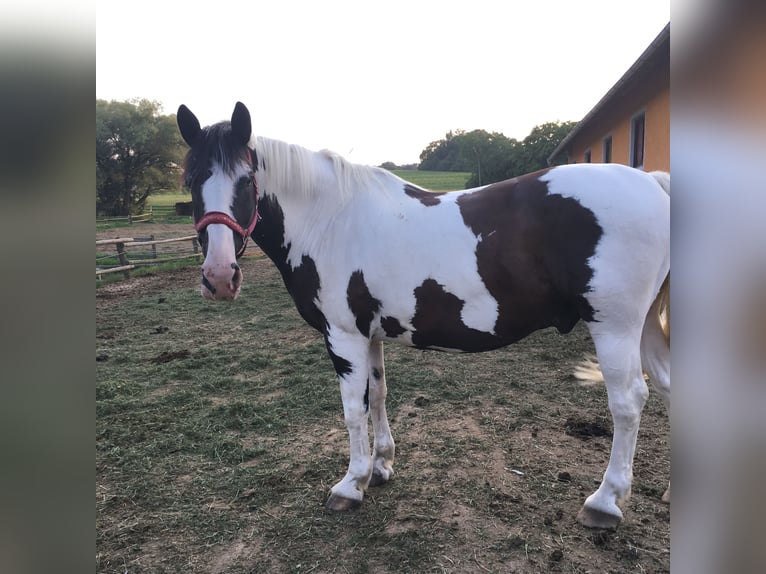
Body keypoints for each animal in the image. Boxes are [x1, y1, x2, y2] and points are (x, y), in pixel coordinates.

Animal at [176, 102, 670, 529]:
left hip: (615, 327)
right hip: (645, 327)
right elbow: (377, 396)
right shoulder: (370, 335)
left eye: (247, 179)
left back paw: (604, 502)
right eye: (191, 178)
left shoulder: (343, 336)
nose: (219, 276)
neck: (330, 220)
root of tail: (654, 184)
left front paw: (350, 485)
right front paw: (380, 467)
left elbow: (352, 409)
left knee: (629, 402)